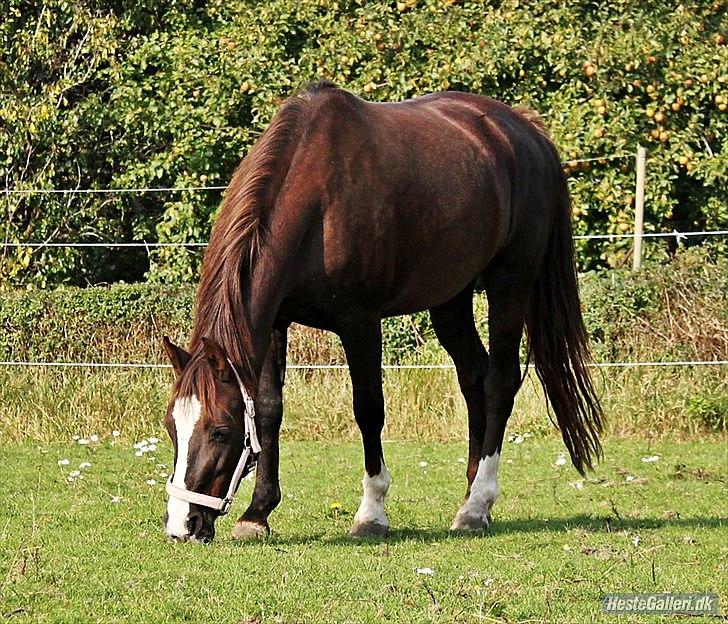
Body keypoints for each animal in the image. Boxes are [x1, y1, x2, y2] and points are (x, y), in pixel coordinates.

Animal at [162, 81, 600, 540]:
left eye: (220, 431)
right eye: (171, 426)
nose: (182, 525)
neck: (318, 199)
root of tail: (526, 130)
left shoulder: (361, 323)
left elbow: (368, 409)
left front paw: (371, 513)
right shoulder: (275, 321)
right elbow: (268, 410)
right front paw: (257, 513)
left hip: (509, 285)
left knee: (500, 382)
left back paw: (477, 505)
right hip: (451, 298)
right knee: (474, 379)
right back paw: (468, 497)